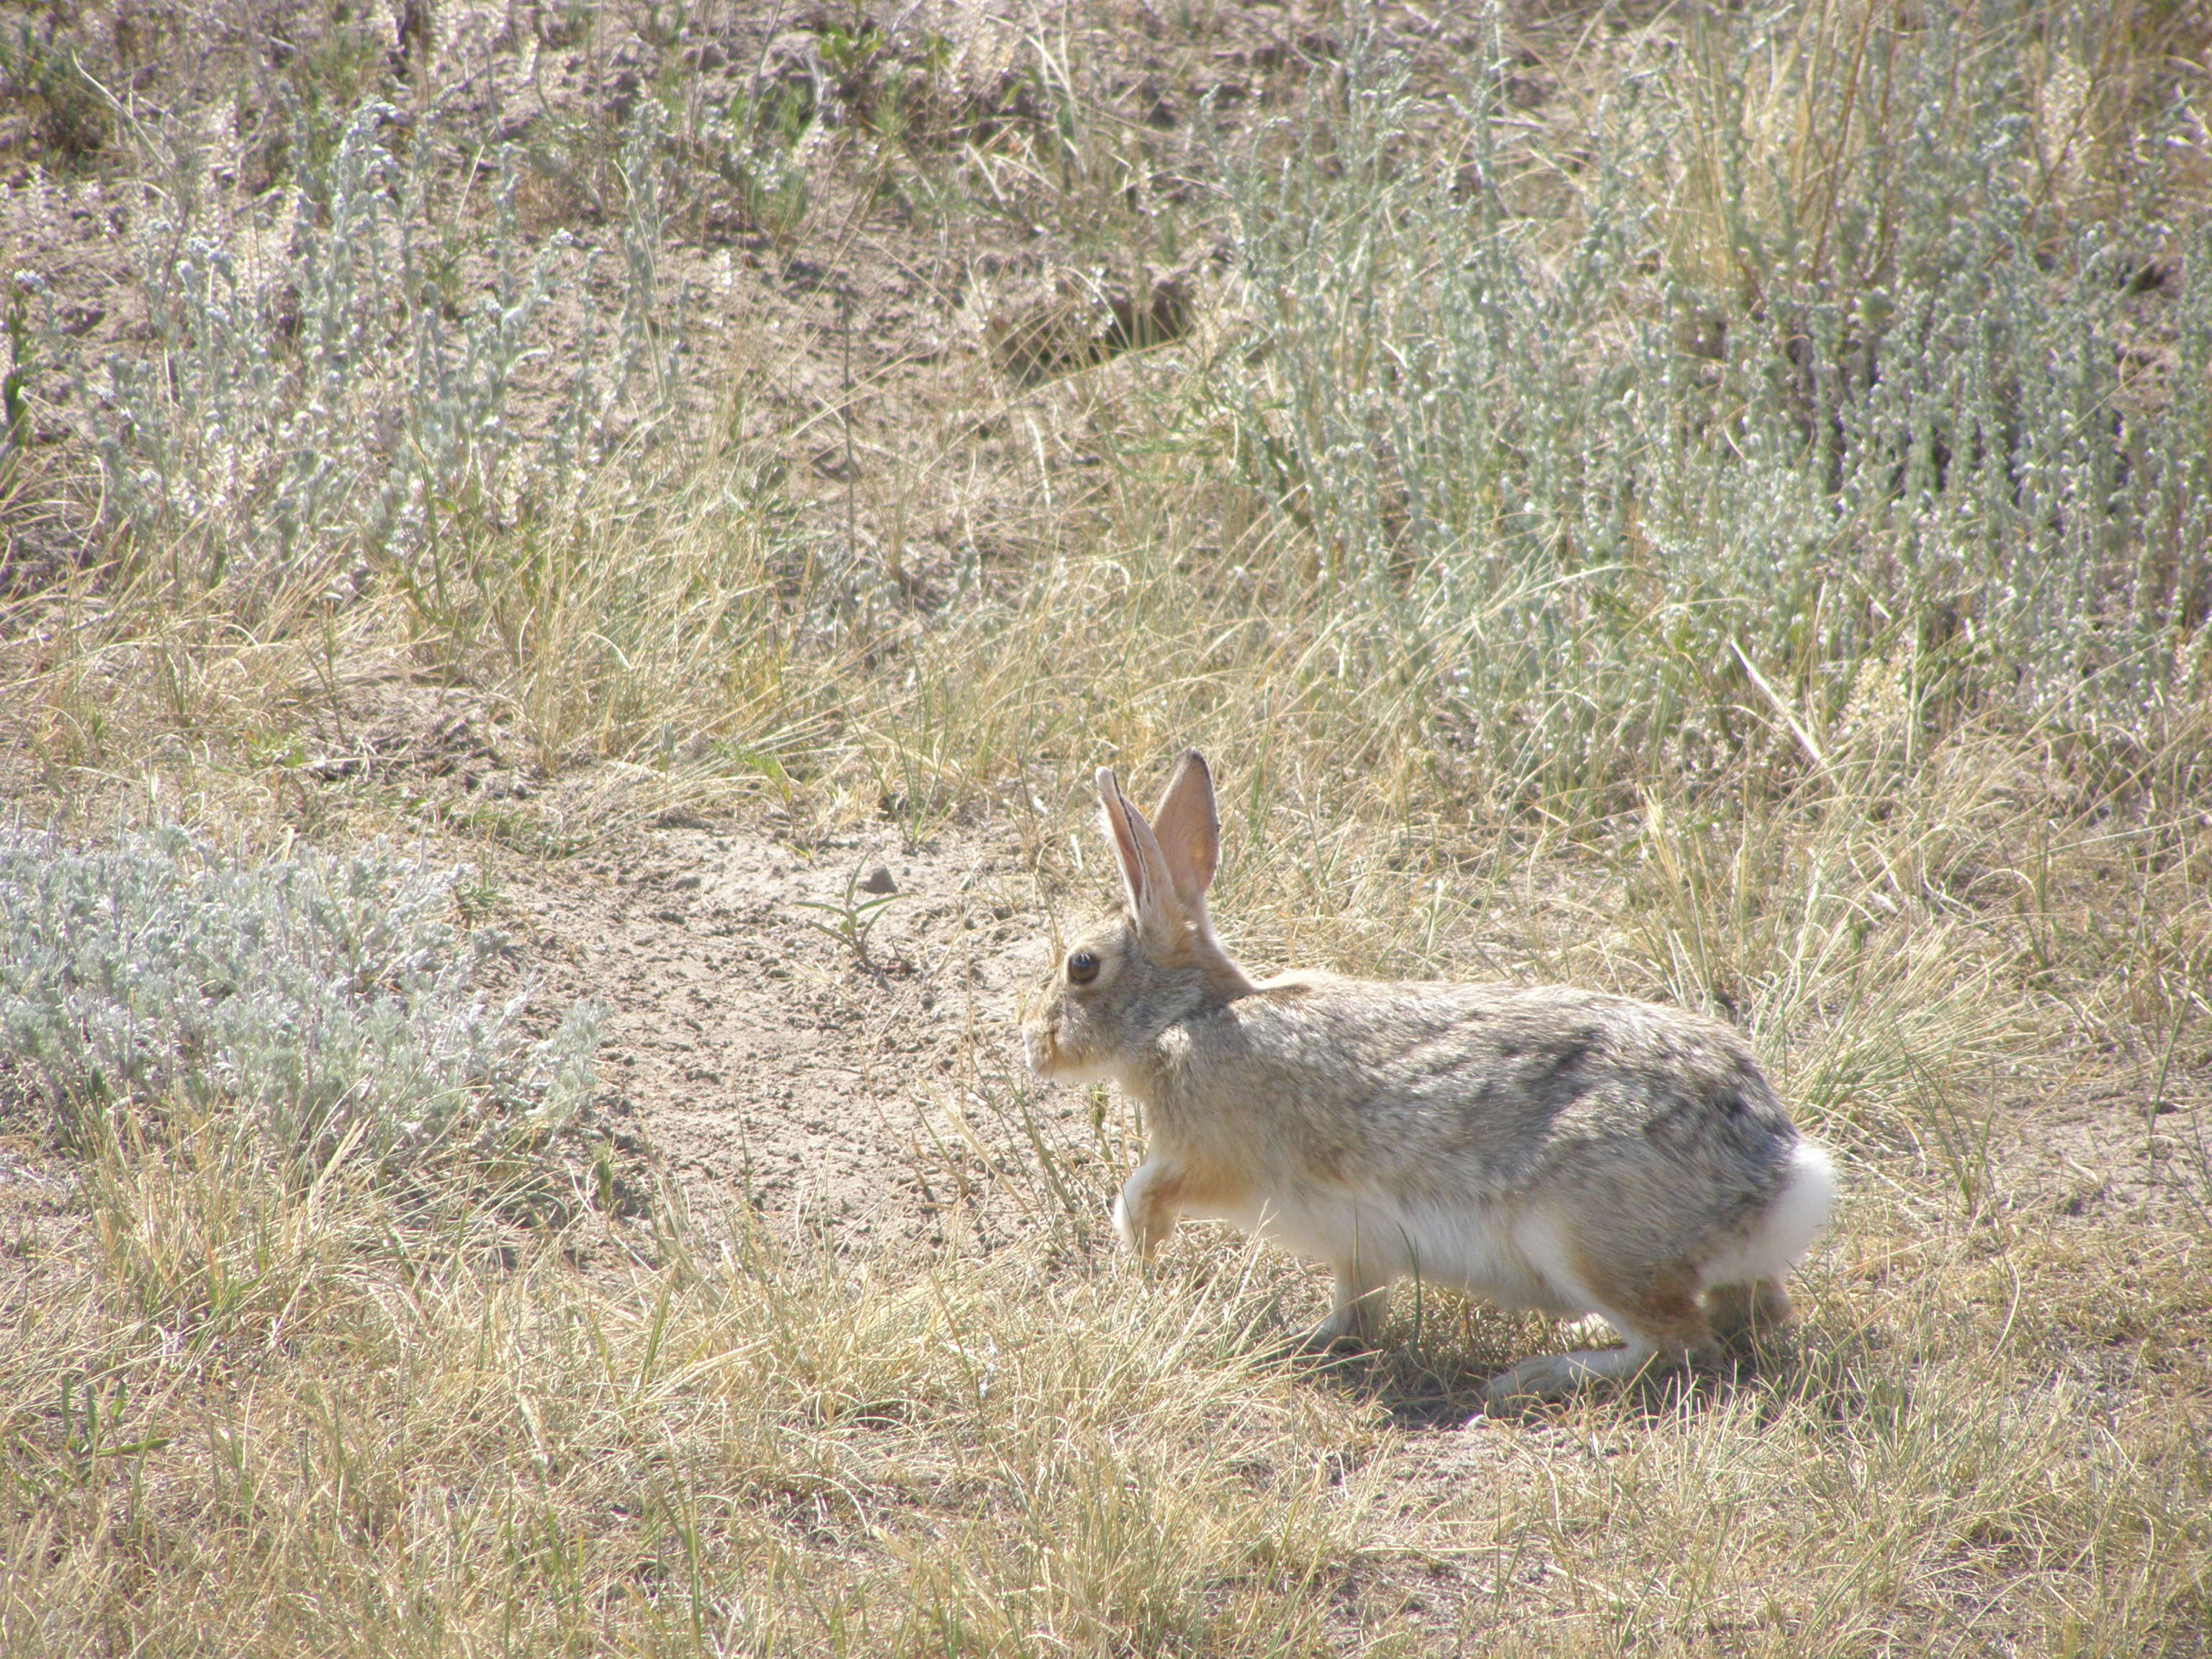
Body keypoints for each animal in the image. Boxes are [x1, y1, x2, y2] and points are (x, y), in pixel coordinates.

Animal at [1017, 752, 1831, 1416]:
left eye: (1082, 966)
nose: (1034, 1045)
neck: (1188, 1015)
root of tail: (1779, 1174)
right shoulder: (1357, 1243)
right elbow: (1357, 1307)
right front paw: (1312, 1339)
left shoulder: (1218, 1162)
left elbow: (1142, 1191)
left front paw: (1142, 1251)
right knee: (1746, 1319)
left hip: (1580, 1236)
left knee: (1683, 1346)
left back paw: (1534, 1375)